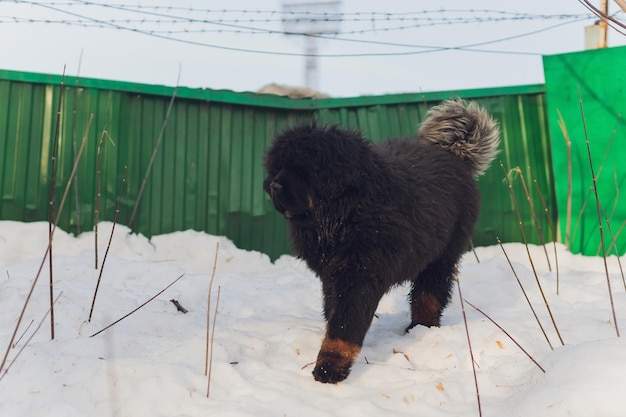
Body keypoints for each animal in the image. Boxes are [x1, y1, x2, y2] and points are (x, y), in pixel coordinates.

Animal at [262, 99, 498, 382]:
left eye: (303, 169)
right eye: (278, 166)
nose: (273, 186)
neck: (345, 212)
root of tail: (453, 155)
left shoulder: (360, 275)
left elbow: (344, 326)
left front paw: (329, 368)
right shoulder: (333, 274)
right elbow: (334, 313)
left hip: (441, 257)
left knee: (429, 296)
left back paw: (422, 328)